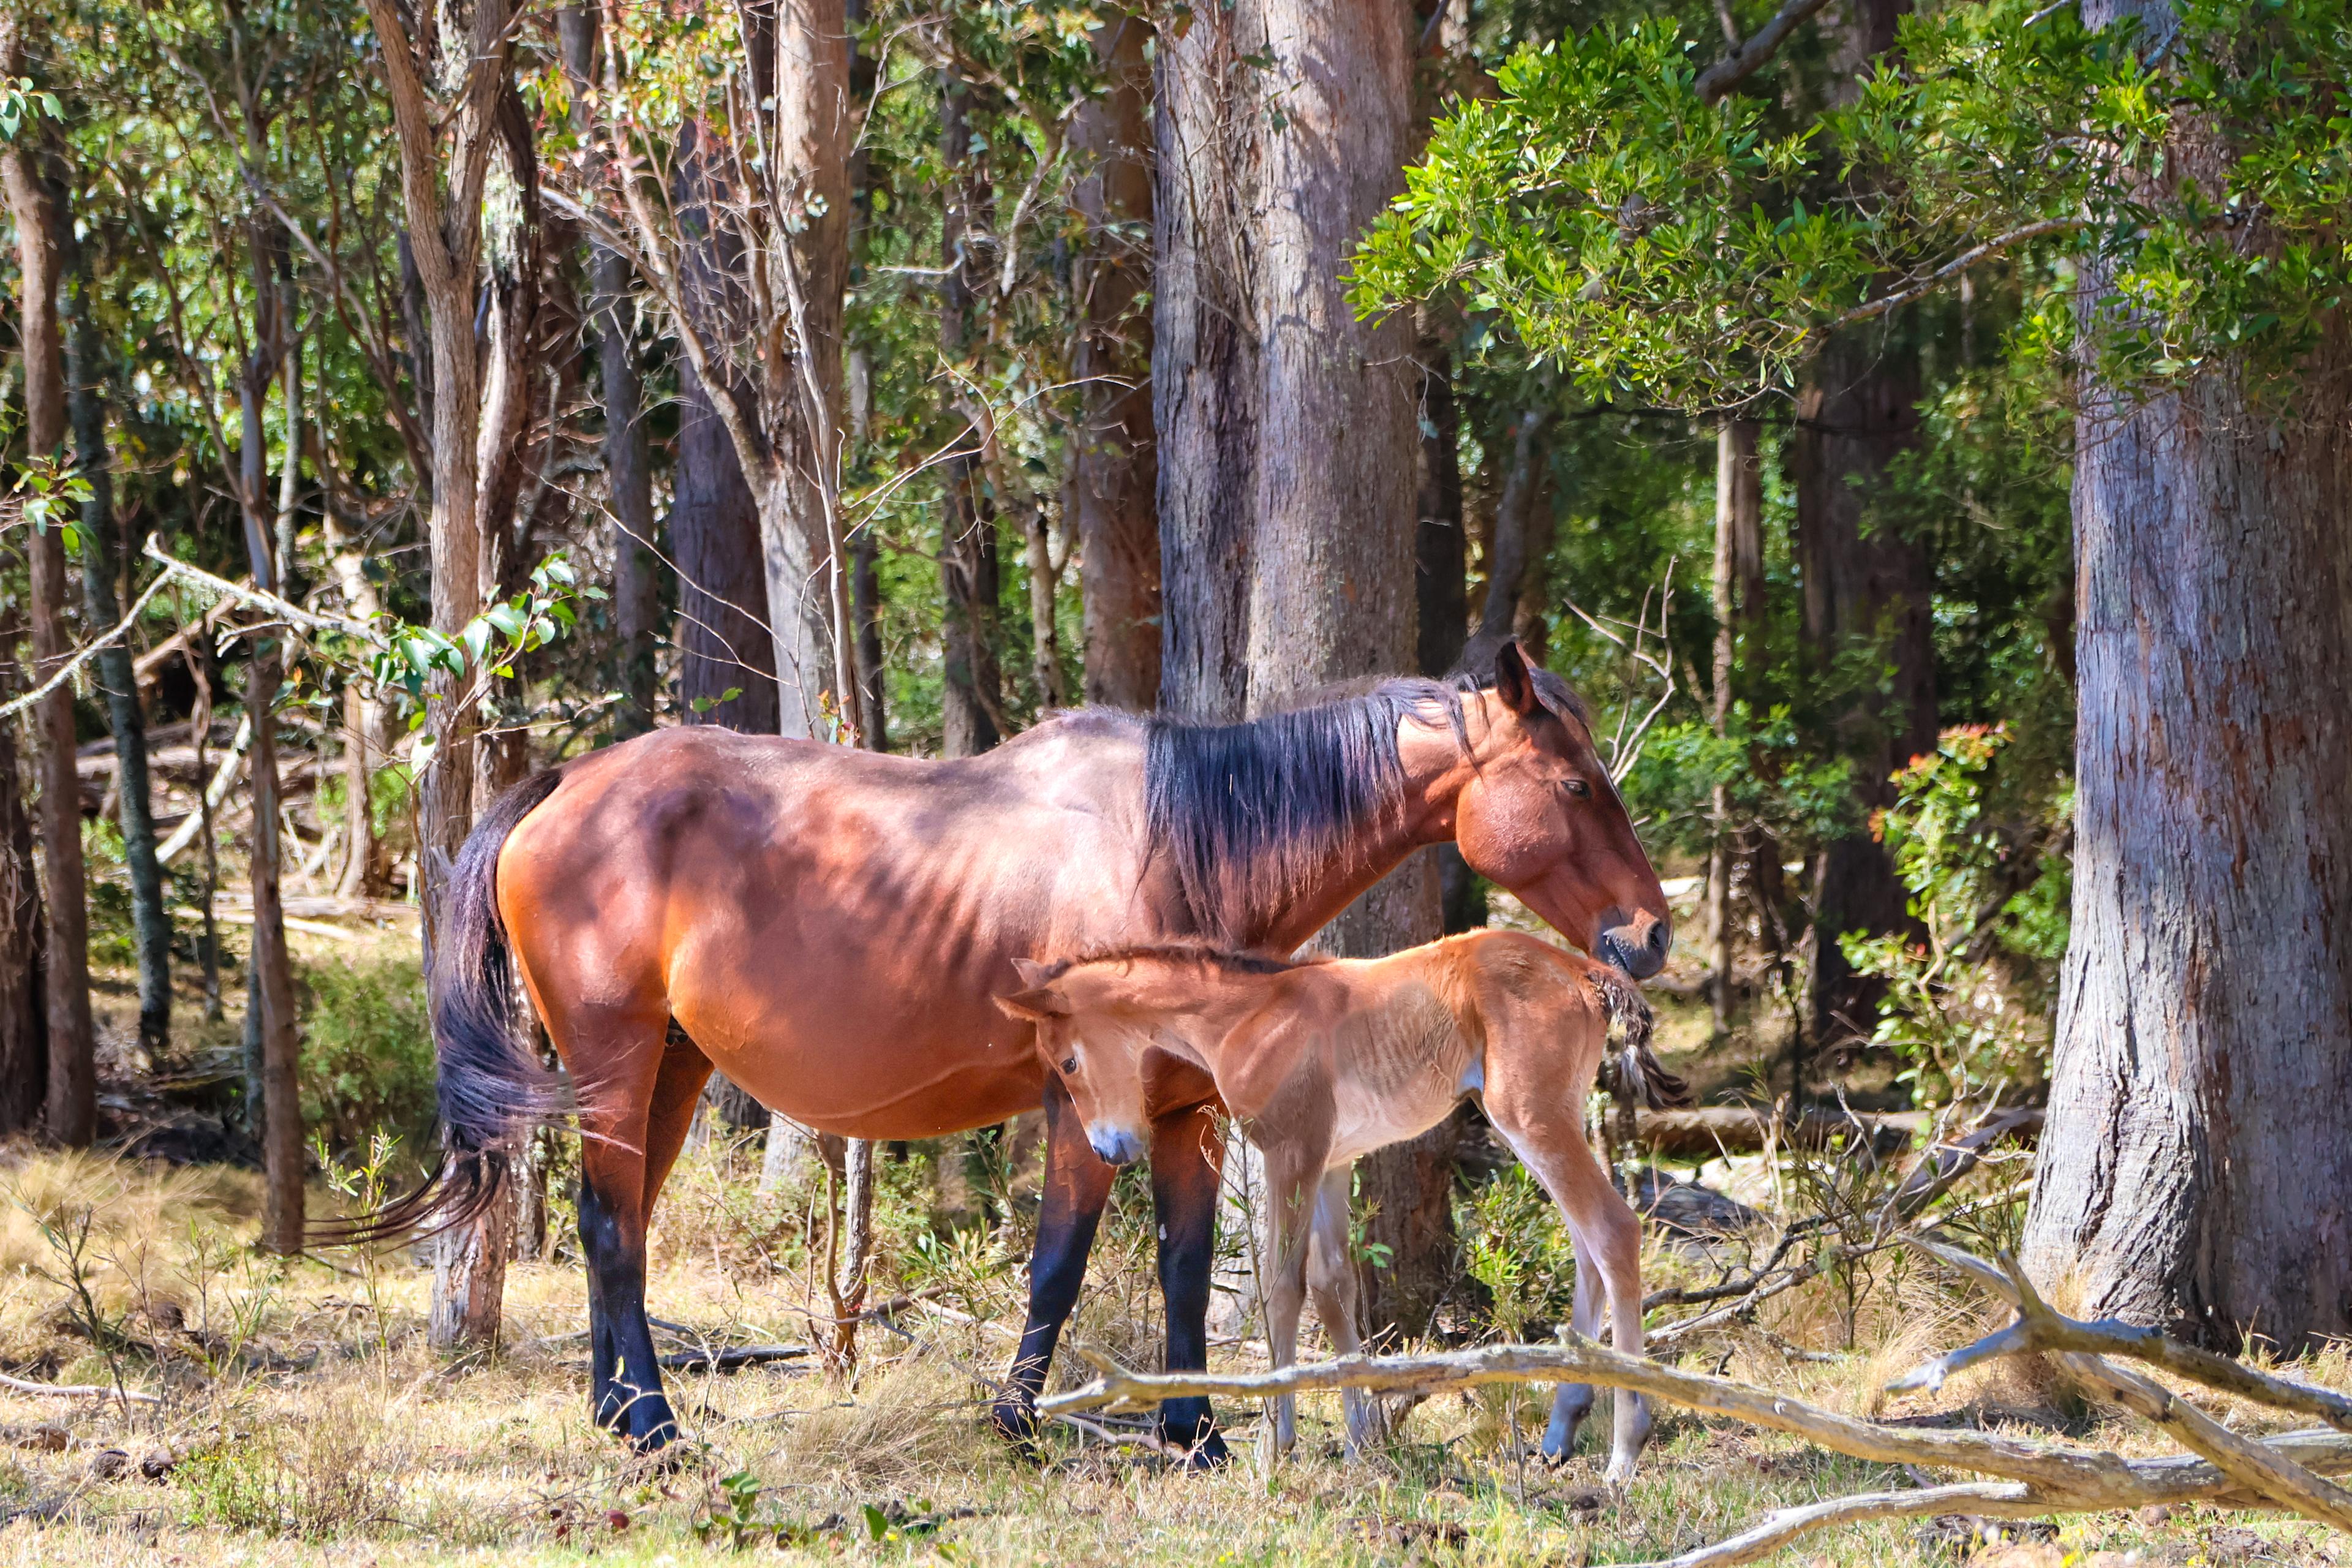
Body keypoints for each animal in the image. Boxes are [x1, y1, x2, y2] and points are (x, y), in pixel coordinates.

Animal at [994, 933, 1687, 1480]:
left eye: (1068, 1061)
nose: (1110, 1149)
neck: (1249, 1017)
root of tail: (1583, 970)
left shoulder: (1292, 1153)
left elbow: (1282, 1288)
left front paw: (1275, 1446)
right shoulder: (1331, 1161)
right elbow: (1332, 1287)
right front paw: (1361, 1442)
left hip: (1529, 1118)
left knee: (1613, 1230)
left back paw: (1624, 1452)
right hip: (1539, 1120)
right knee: (1586, 1248)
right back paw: (1560, 1431)